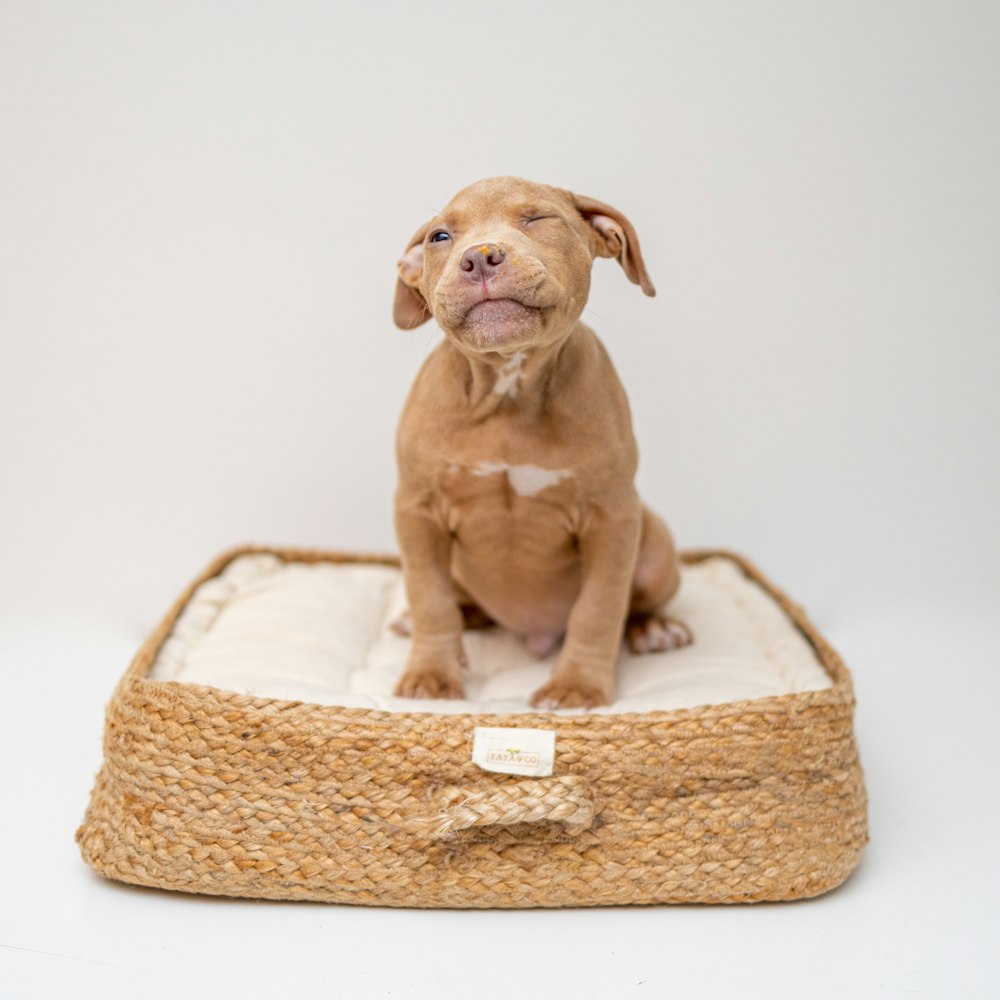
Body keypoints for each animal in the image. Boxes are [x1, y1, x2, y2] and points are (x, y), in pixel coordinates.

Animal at [388, 180, 688, 712]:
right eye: (440, 236)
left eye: (539, 219)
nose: (480, 257)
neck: (510, 389)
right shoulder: (417, 512)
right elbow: (430, 599)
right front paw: (431, 675)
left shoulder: (613, 518)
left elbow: (599, 608)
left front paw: (577, 687)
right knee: (458, 602)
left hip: (655, 548)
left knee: (636, 601)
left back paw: (654, 628)